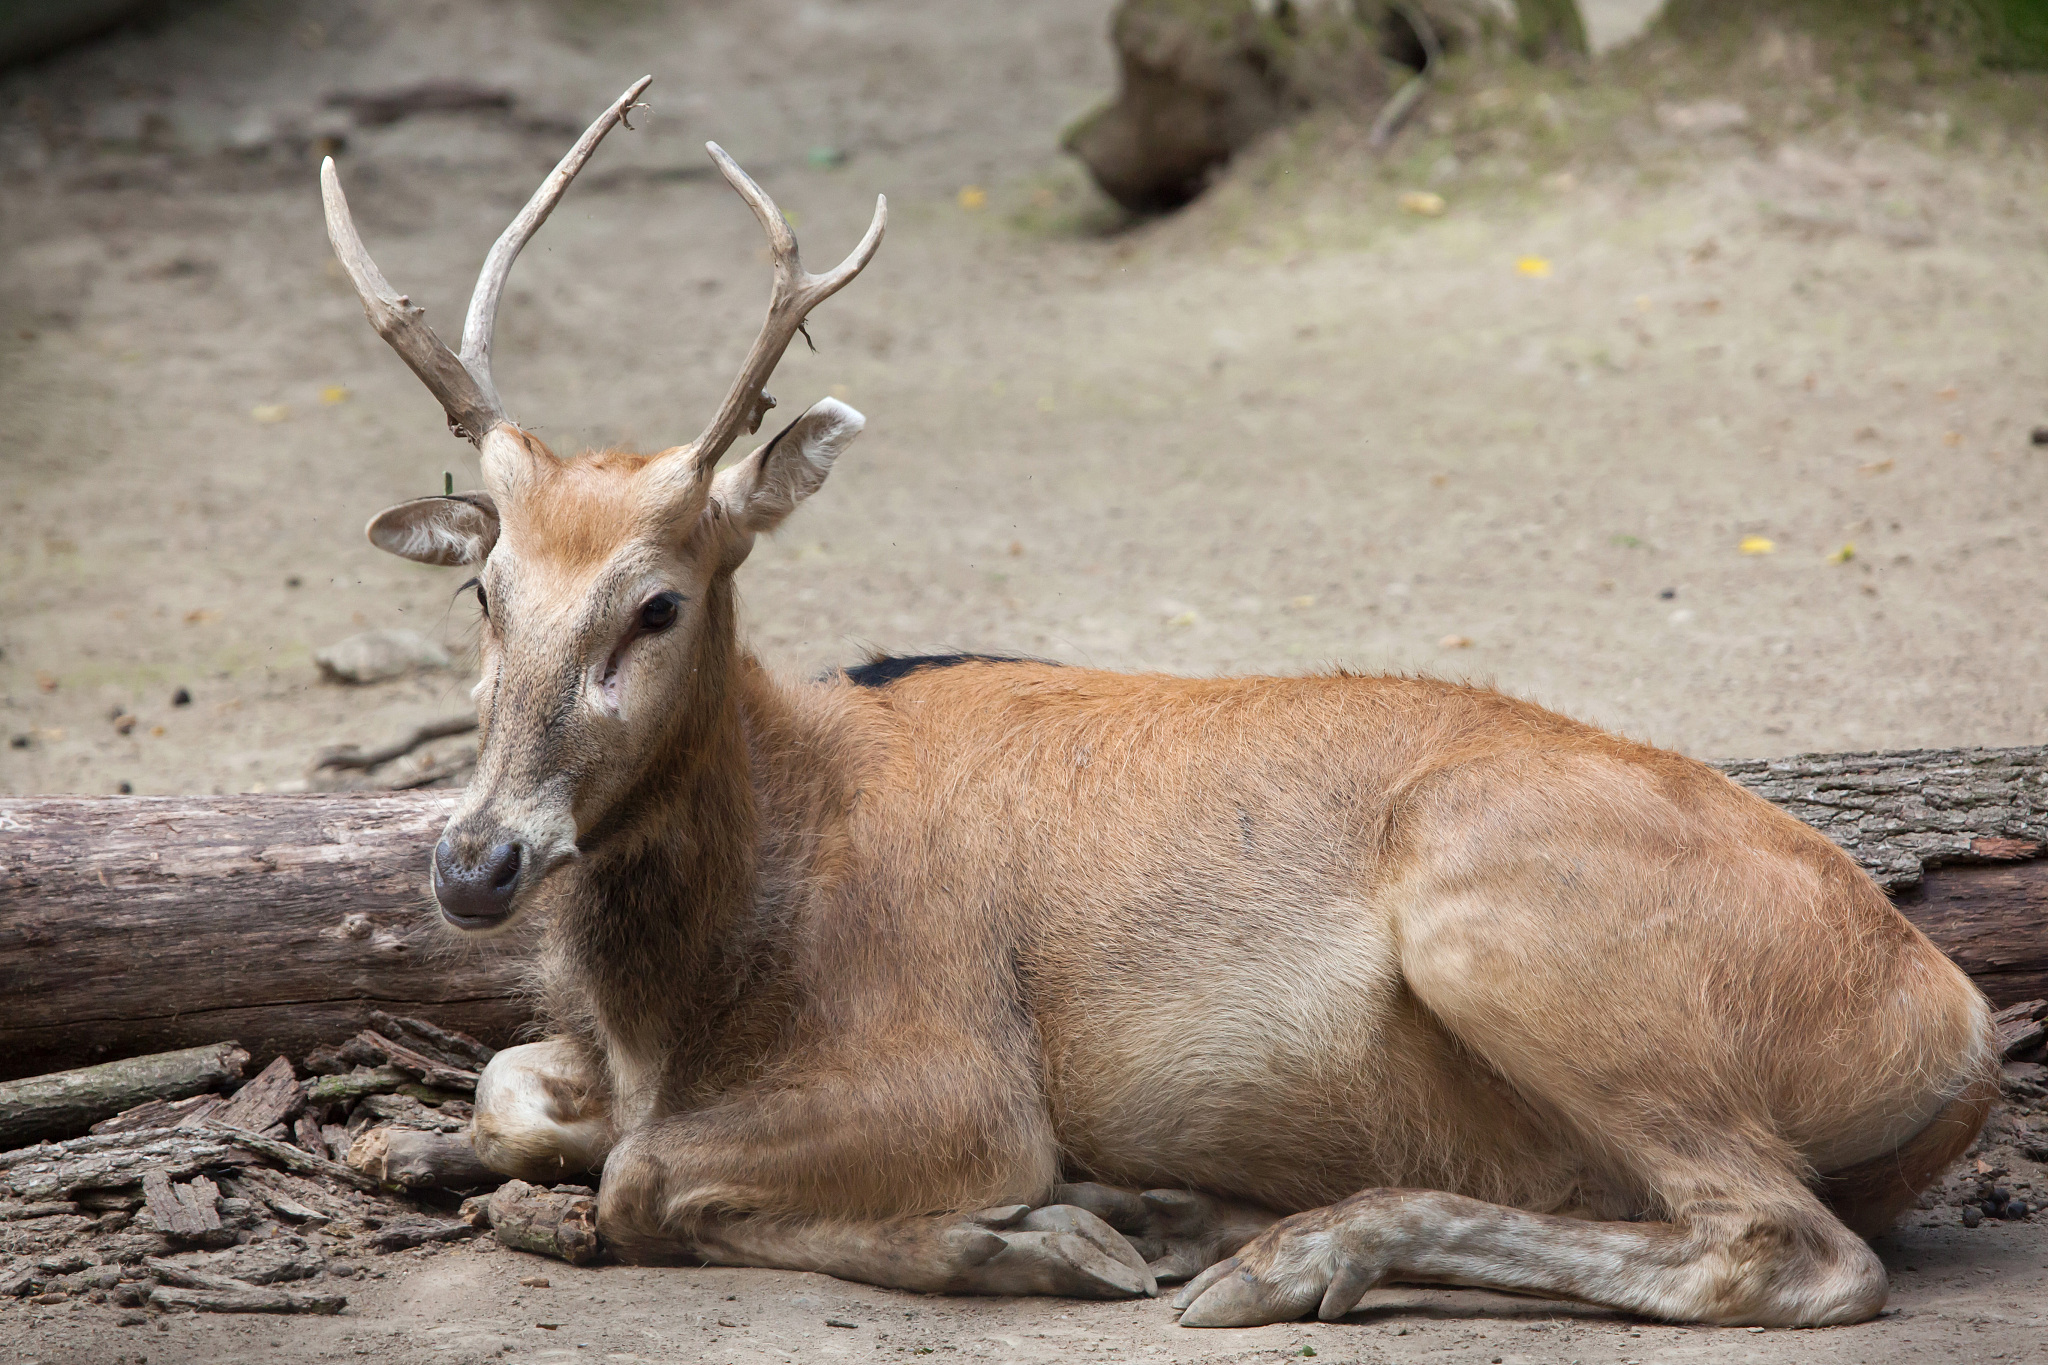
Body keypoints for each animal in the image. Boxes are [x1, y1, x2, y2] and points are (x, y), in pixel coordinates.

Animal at [320, 76, 1994, 1328]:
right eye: (484, 593)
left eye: (657, 602)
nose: (474, 860)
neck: (707, 976)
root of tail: (1957, 1030)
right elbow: (512, 1091)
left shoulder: (960, 1071)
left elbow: (646, 1180)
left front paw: (1043, 1231)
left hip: (1504, 917)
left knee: (1785, 1244)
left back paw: (1274, 1250)